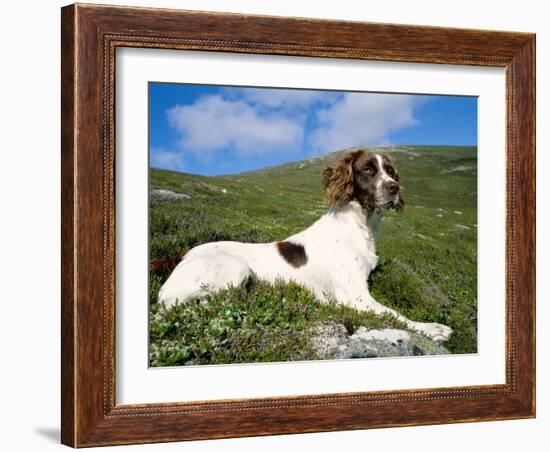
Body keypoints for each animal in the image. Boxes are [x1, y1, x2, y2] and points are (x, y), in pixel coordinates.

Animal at [157, 150, 454, 340]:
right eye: (368, 169)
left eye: (391, 171)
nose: (394, 188)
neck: (360, 226)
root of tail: (181, 255)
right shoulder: (354, 296)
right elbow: (394, 313)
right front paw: (433, 329)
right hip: (235, 267)